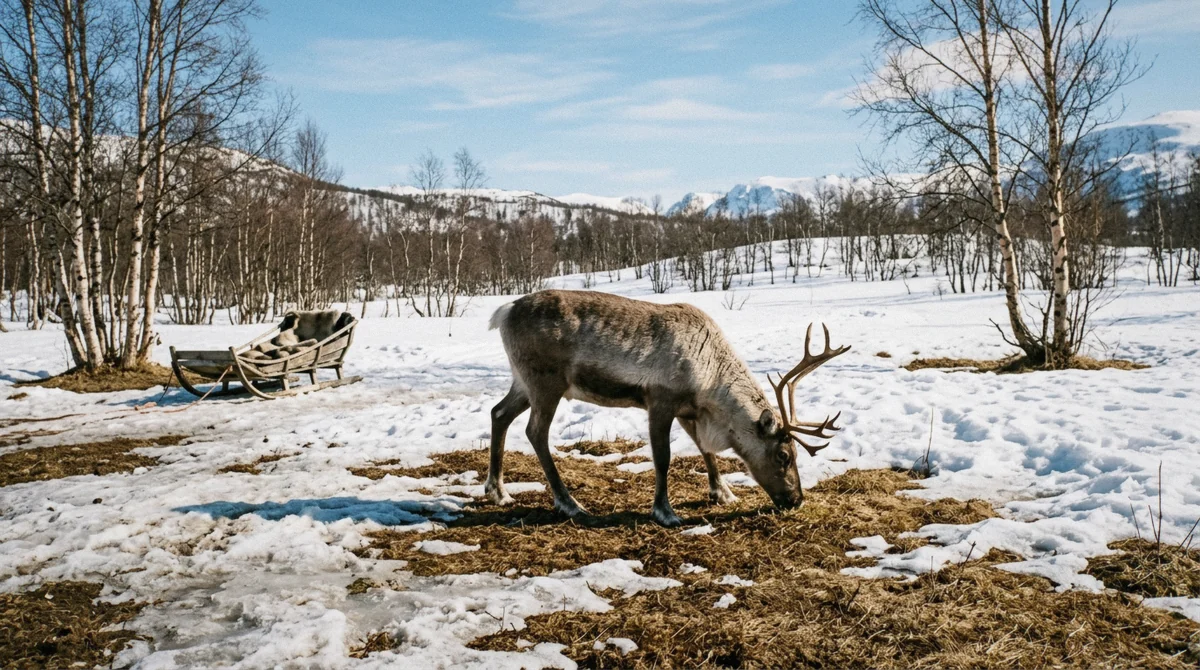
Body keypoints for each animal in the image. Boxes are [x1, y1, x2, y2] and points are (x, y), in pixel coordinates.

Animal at [485, 290, 849, 527]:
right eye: (783, 455)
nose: (796, 499)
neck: (710, 378)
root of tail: (504, 311)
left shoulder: (690, 410)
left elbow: (706, 450)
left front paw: (723, 493)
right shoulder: (661, 400)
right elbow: (663, 457)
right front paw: (666, 511)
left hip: (522, 382)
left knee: (498, 413)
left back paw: (498, 491)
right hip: (546, 382)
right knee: (535, 432)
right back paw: (569, 503)